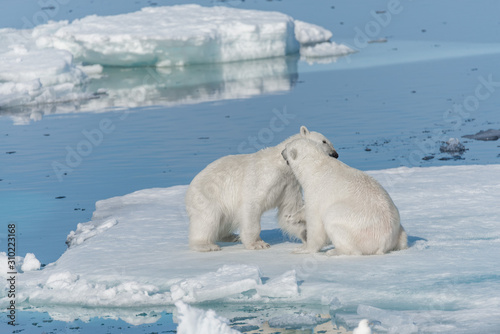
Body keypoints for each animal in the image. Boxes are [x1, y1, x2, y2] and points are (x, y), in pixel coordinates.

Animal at [186, 126, 338, 252]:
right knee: (208, 219)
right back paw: (206, 245)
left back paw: (230, 236)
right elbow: (251, 205)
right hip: (208, 196)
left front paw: (305, 233)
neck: (282, 166)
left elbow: (289, 209)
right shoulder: (262, 178)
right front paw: (258, 244)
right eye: (324, 141)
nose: (335, 154)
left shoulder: (289, 184)